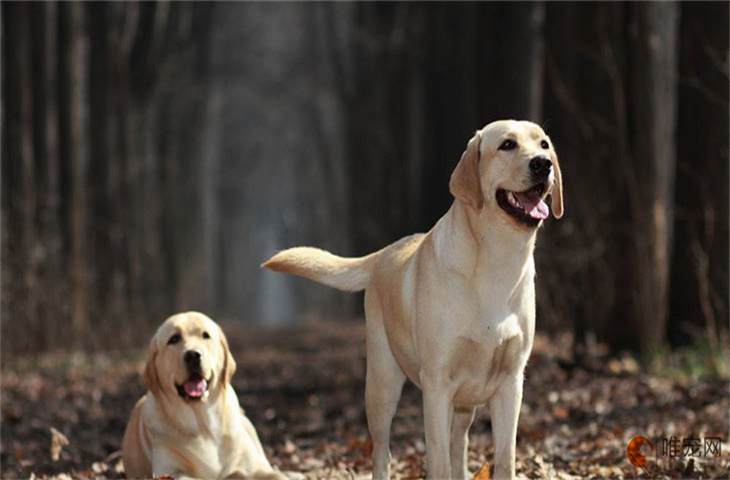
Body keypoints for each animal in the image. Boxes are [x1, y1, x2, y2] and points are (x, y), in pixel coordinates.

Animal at [122, 312, 284, 480]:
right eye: (174, 339)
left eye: (206, 335)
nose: (193, 355)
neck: (204, 424)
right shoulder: (171, 472)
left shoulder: (256, 468)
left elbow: (276, 475)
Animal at [262, 121, 564, 480]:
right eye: (507, 145)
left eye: (543, 144)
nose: (543, 164)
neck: (496, 263)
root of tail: (382, 253)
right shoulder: (437, 385)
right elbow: (439, 463)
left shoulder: (511, 383)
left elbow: (504, 460)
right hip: (382, 384)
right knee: (382, 450)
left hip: (464, 403)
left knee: (459, 444)